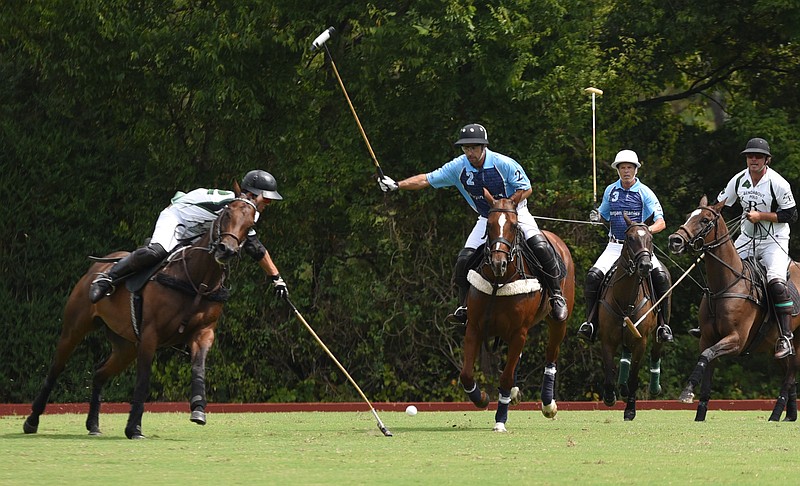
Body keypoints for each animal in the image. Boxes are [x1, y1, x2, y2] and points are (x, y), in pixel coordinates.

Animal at [23, 183, 260, 440]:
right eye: (227, 214)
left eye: (250, 225)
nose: (226, 250)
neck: (198, 281)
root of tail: (97, 266)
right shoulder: (150, 334)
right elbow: (143, 380)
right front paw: (134, 427)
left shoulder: (203, 333)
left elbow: (199, 369)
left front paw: (198, 409)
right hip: (75, 328)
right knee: (55, 369)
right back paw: (32, 420)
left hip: (125, 346)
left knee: (99, 373)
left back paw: (93, 425)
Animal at [456, 188, 576, 430]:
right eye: (489, 224)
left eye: (513, 225)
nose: (498, 263)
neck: (498, 281)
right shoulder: (474, 327)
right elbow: (466, 374)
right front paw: (482, 398)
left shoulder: (519, 331)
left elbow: (505, 378)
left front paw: (500, 420)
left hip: (557, 321)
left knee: (551, 355)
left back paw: (548, 404)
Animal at [596, 215, 664, 420]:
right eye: (630, 238)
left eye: (651, 238)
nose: (646, 266)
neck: (626, 299)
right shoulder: (607, 339)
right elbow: (609, 372)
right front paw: (610, 396)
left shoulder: (641, 341)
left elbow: (635, 376)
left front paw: (630, 410)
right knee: (625, 354)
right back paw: (622, 386)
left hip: (656, 333)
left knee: (656, 351)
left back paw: (654, 387)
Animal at [668, 195, 800, 422]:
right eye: (688, 216)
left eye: (705, 220)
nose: (675, 240)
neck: (724, 285)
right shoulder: (707, 338)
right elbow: (706, 365)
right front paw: (699, 414)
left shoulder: (736, 340)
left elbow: (706, 356)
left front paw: (686, 393)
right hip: (775, 345)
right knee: (788, 370)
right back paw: (789, 415)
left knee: (791, 373)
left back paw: (775, 414)